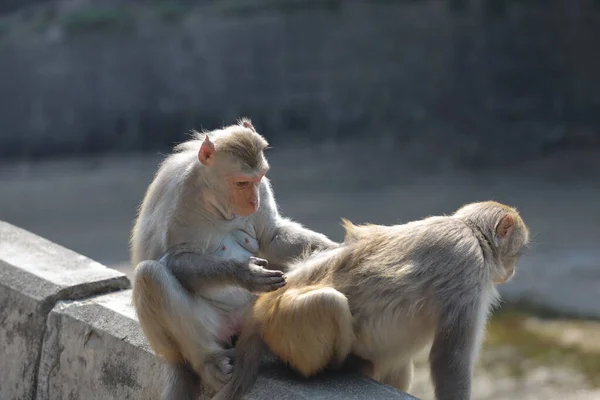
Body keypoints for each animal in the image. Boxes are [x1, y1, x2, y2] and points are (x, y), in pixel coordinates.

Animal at [130, 119, 338, 400]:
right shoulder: (182, 194)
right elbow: (176, 259)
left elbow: (271, 236)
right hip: (208, 328)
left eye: (257, 179)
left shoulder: (264, 188)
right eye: (240, 183)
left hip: (253, 312)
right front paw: (245, 274)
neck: (213, 197)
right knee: (150, 275)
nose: (254, 201)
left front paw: (338, 247)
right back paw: (208, 360)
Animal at [212, 200, 528, 400]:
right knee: (329, 302)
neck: (471, 233)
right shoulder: (467, 268)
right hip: (284, 326)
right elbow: (451, 359)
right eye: (518, 252)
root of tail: (259, 313)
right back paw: (341, 366)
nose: (513, 271)